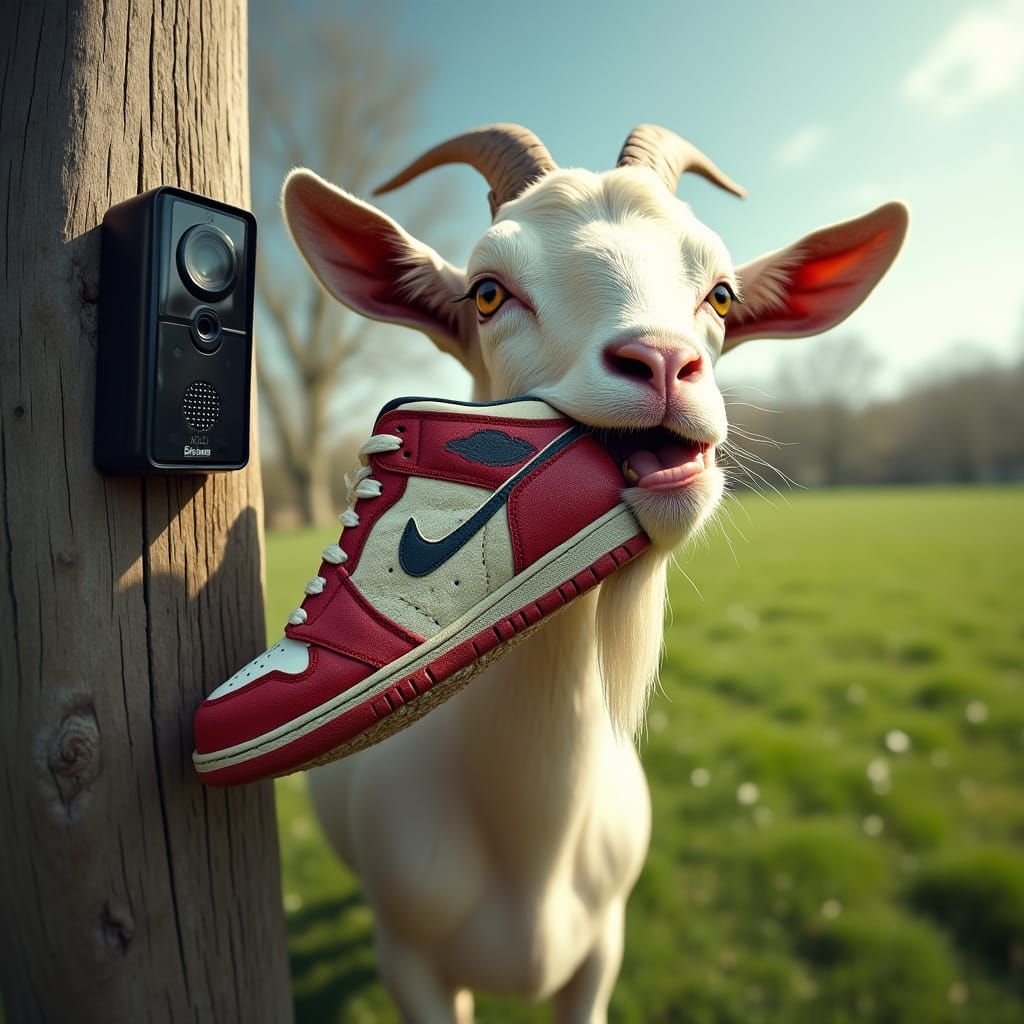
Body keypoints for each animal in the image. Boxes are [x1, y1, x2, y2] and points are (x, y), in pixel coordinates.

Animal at [281, 123, 907, 1023]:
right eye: (486, 292)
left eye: (721, 296)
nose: (663, 362)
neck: (534, 848)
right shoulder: (413, 965)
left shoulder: (603, 951)